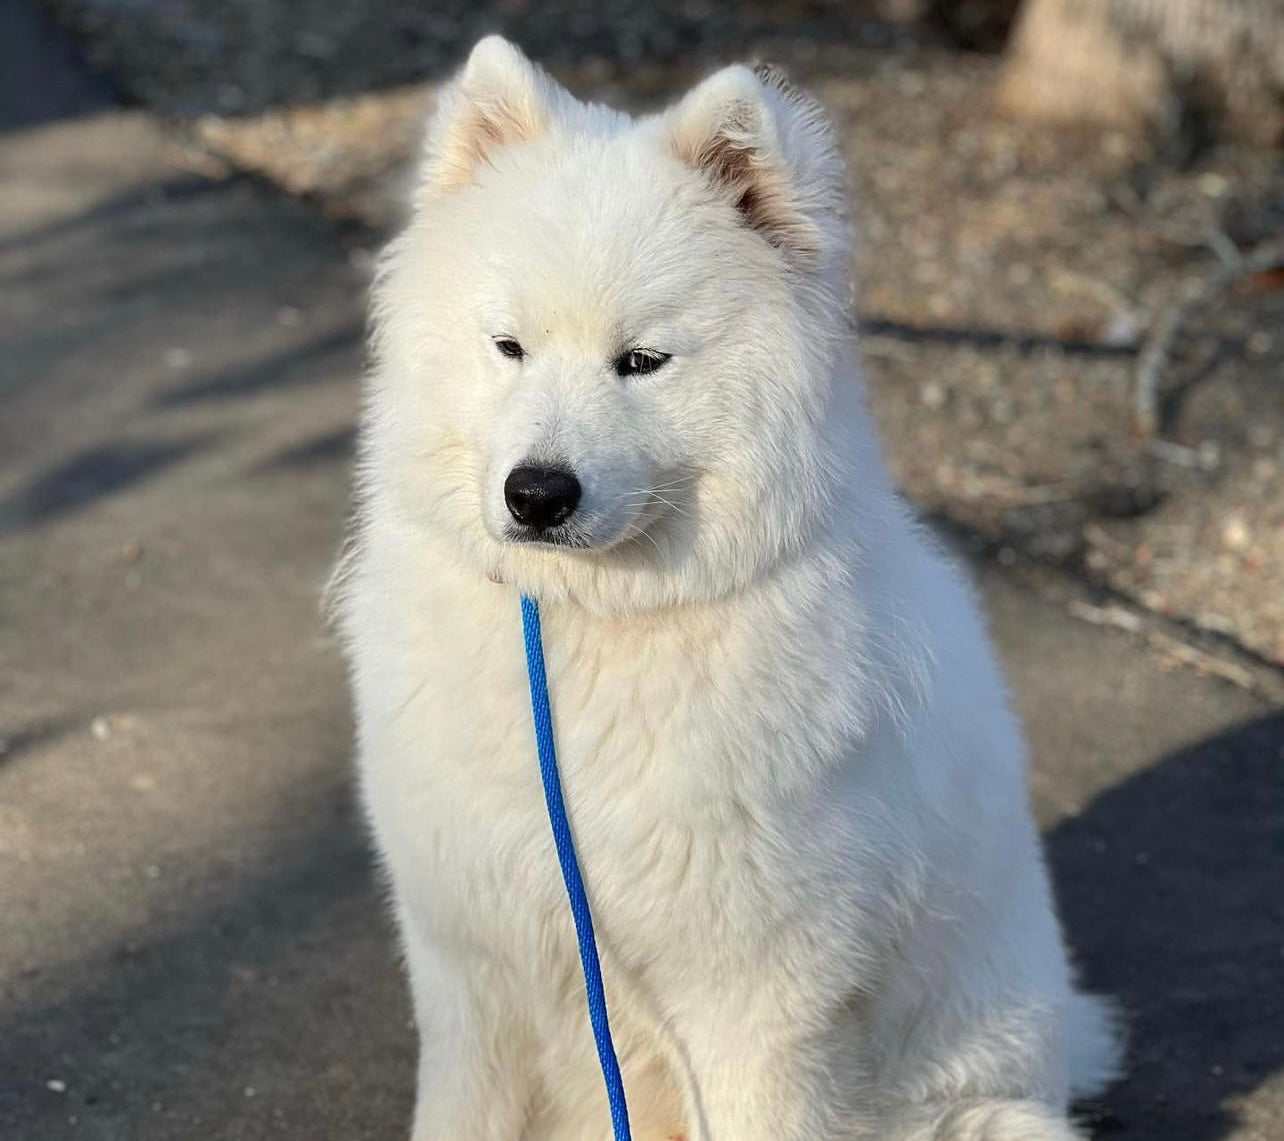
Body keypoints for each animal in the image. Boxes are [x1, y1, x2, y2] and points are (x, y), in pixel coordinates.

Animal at [333, 35, 1124, 1139]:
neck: (588, 630)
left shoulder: (759, 1000)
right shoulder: (471, 971)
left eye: (641, 361)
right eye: (509, 345)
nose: (536, 493)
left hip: (984, 1102)